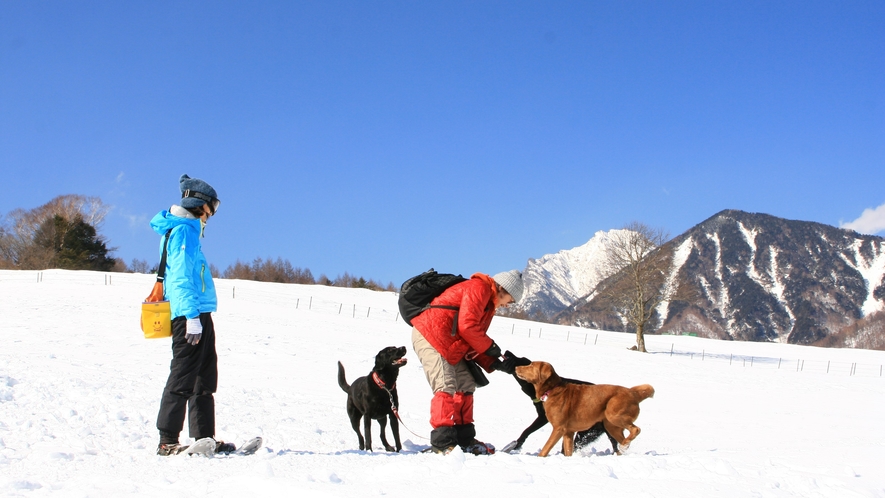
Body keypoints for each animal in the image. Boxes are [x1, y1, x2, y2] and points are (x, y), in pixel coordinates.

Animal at [516, 360, 652, 458]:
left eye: (531, 365)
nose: (516, 367)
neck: (552, 389)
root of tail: (633, 392)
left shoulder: (559, 428)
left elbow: (545, 448)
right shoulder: (568, 432)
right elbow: (568, 451)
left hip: (613, 416)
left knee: (636, 429)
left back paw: (624, 445)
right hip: (611, 426)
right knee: (624, 439)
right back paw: (624, 448)